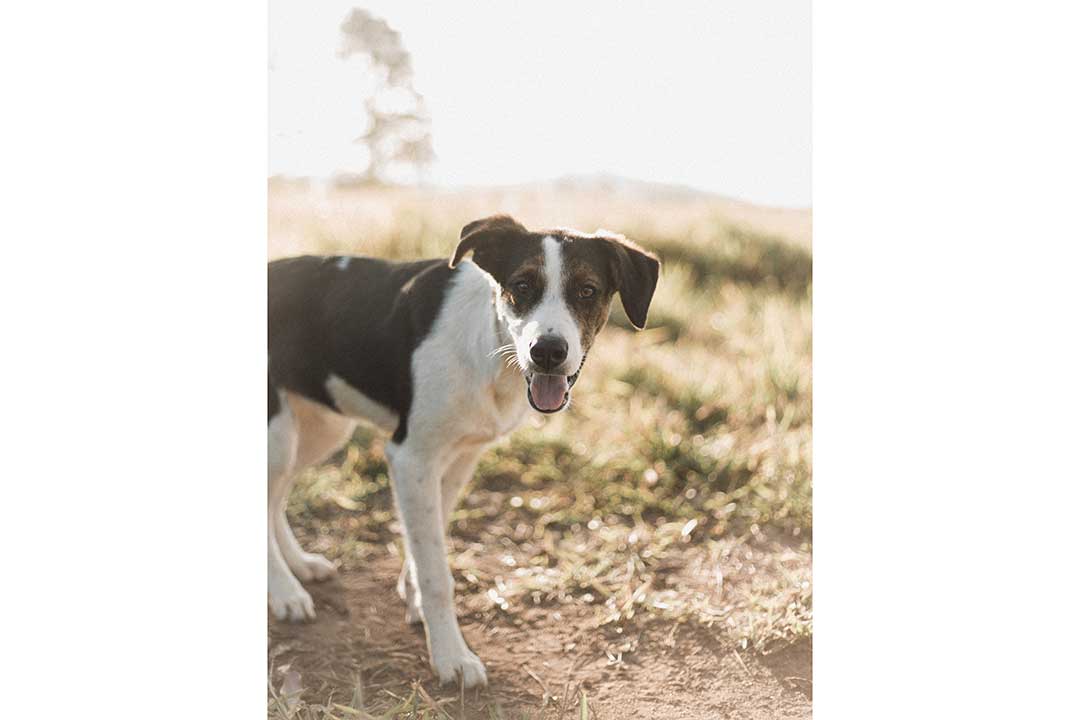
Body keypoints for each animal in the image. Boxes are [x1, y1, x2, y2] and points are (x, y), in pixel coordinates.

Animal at [267, 213, 656, 686]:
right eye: (522, 285)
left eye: (587, 290)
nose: (547, 352)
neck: (490, 345)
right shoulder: (411, 458)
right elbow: (437, 572)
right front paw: (451, 656)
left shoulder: (459, 458)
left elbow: (427, 547)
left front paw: (415, 602)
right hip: (278, 433)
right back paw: (285, 592)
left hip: (322, 427)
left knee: (275, 498)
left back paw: (299, 567)